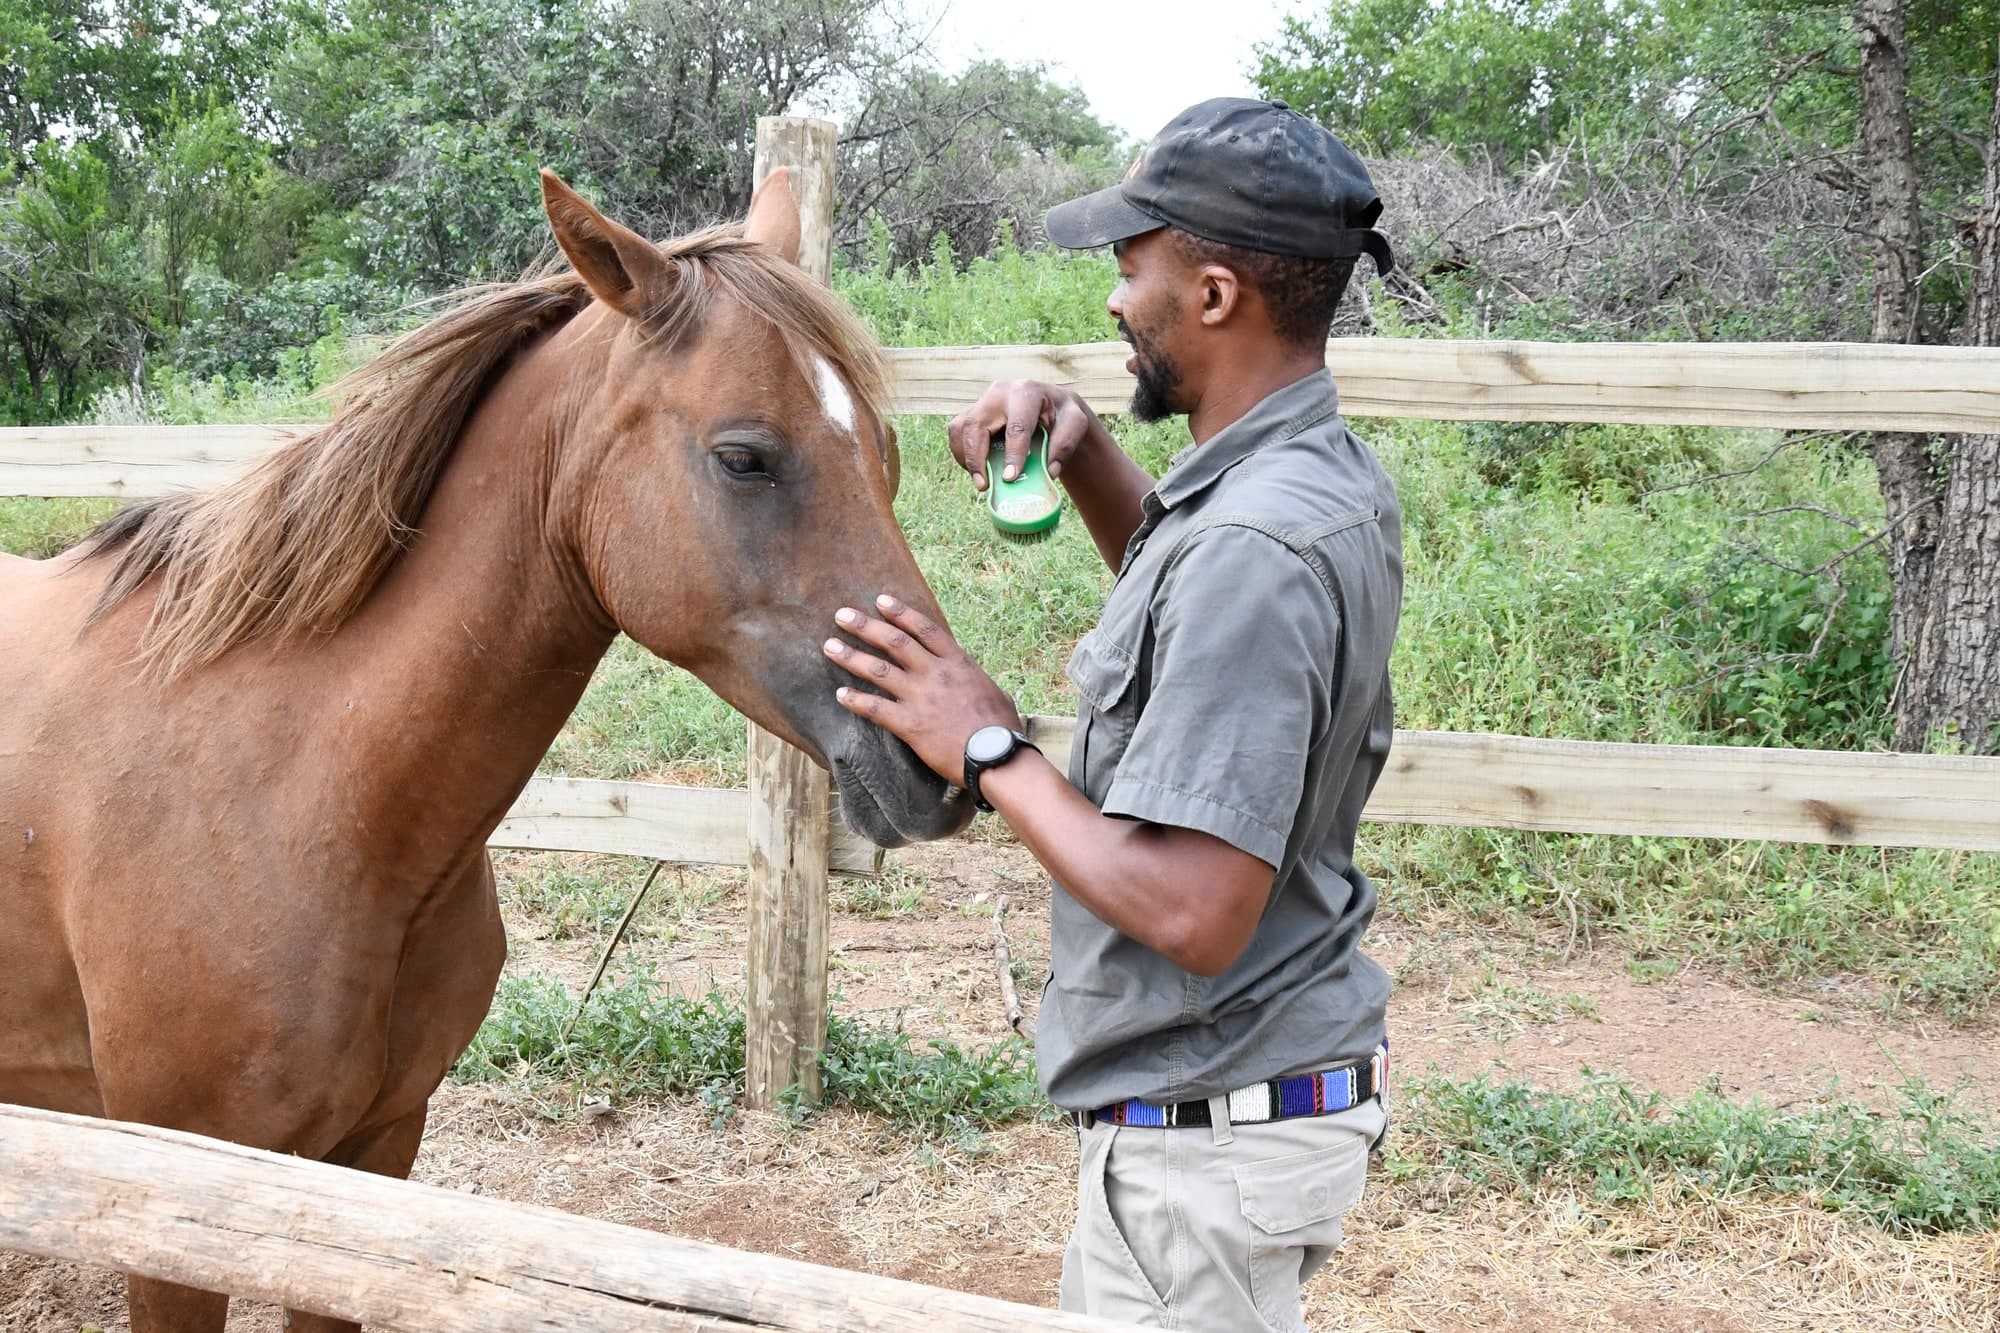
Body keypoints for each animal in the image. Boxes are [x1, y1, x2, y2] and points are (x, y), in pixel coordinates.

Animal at [0, 168, 973, 1332]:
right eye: (744, 457)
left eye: (885, 452)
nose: (941, 761)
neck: (294, 799)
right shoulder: (169, 1210)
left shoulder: (367, 1160)